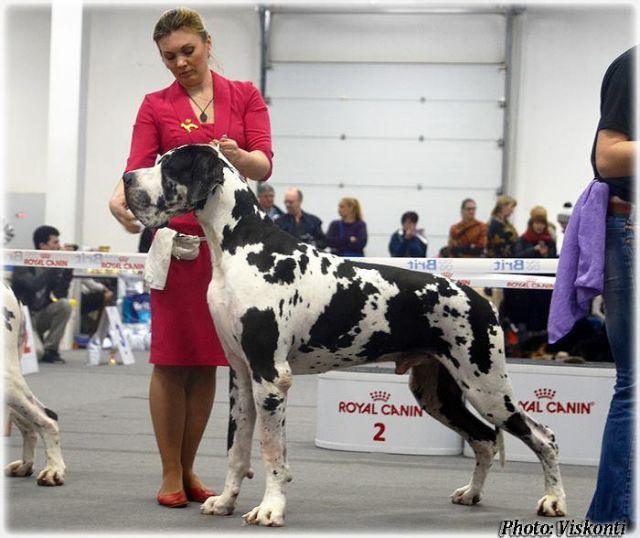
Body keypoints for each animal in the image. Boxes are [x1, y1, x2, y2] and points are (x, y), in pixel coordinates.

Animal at [124, 144, 567, 526]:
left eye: (169, 167)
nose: (127, 178)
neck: (241, 246)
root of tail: (481, 298)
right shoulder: (241, 375)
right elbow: (238, 448)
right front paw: (226, 501)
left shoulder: (271, 376)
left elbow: (271, 452)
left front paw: (270, 509)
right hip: (437, 393)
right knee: (485, 439)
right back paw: (472, 493)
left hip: (487, 386)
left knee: (543, 436)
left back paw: (553, 500)